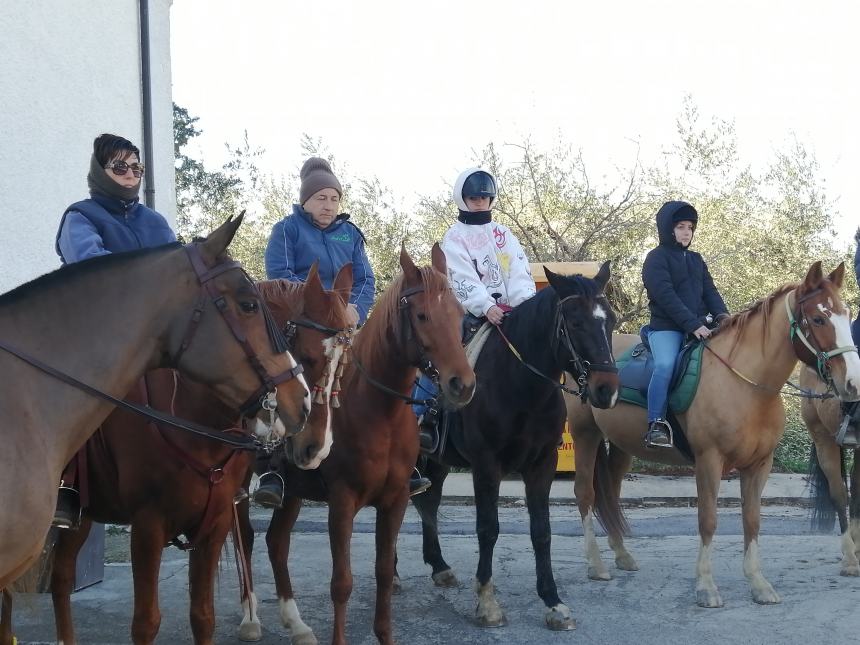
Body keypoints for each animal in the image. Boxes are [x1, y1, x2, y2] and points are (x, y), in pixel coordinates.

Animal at [233, 245, 478, 644]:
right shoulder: (342, 502)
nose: (463, 384)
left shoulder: (395, 501)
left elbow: (383, 573)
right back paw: (250, 618)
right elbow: (342, 583)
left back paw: (296, 624)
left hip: (294, 491)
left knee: (276, 543)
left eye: (458, 315)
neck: (380, 413)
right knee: (247, 539)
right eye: (422, 315)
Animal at [410, 264, 620, 632]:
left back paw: (439, 566)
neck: (520, 385)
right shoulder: (486, 466)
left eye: (609, 320)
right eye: (575, 323)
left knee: (429, 503)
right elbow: (488, 529)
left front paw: (553, 602)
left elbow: (542, 531)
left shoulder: (542, 465)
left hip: (438, 461)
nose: (606, 390)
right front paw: (487, 603)